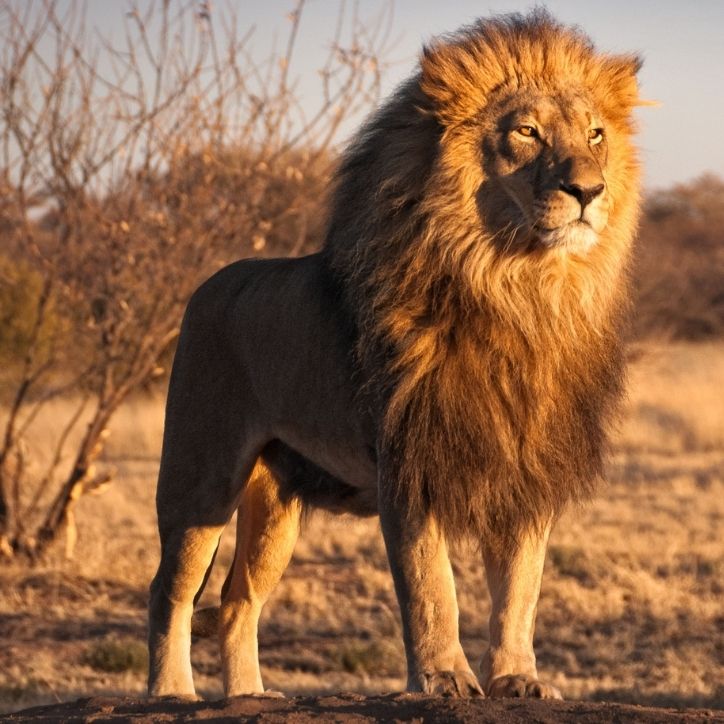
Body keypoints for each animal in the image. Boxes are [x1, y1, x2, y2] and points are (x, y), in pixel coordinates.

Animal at [148, 10, 643, 700]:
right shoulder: (409, 461)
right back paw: (171, 692)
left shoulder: (526, 468)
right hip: (201, 475)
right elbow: (432, 586)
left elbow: (520, 589)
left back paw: (249, 696)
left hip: (276, 503)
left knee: (238, 599)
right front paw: (444, 679)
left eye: (596, 134)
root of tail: (208, 284)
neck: (520, 291)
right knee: (170, 589)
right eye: (526, 131)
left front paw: (517, 678)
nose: (589, 190)